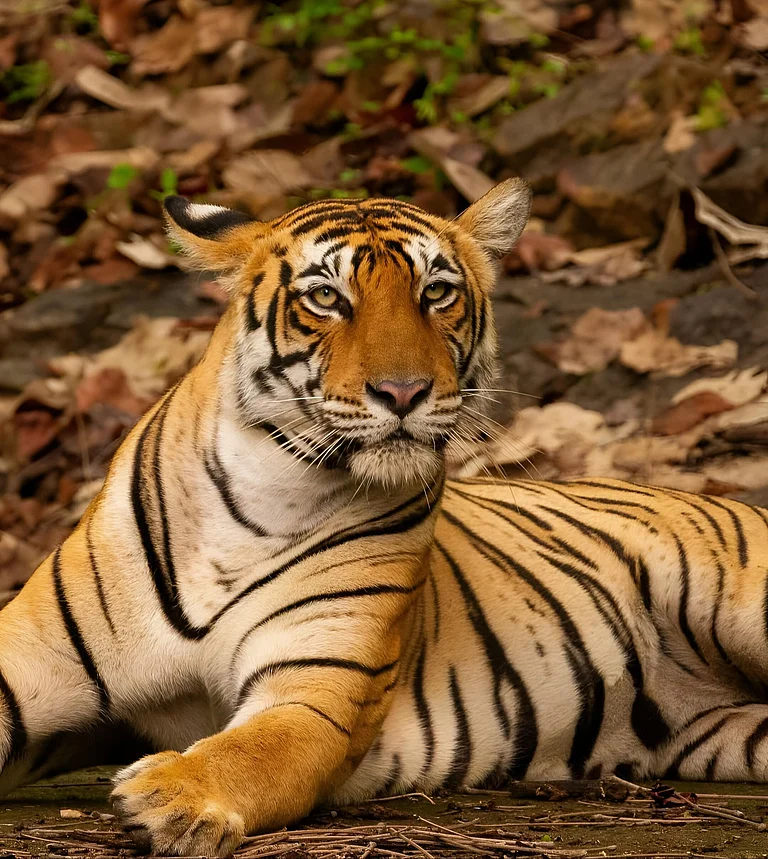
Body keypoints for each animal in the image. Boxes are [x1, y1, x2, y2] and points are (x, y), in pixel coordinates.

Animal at [1, 179, 768, 857]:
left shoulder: (319, 686)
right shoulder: (30, 659)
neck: (263, 490)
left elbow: (251, 749)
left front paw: (168, 796)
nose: (403, 392)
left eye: (436, 292)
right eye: (325, 298)